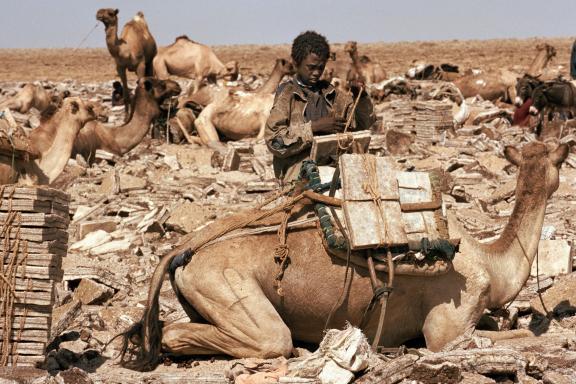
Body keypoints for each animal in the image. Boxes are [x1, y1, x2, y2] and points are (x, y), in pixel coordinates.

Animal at [120, 141, 568, 372]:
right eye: (560, 160)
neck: (489, 262)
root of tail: (181, 252)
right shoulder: (446, 329)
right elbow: (515, 337)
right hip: (223, 285)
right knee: (260, 338)